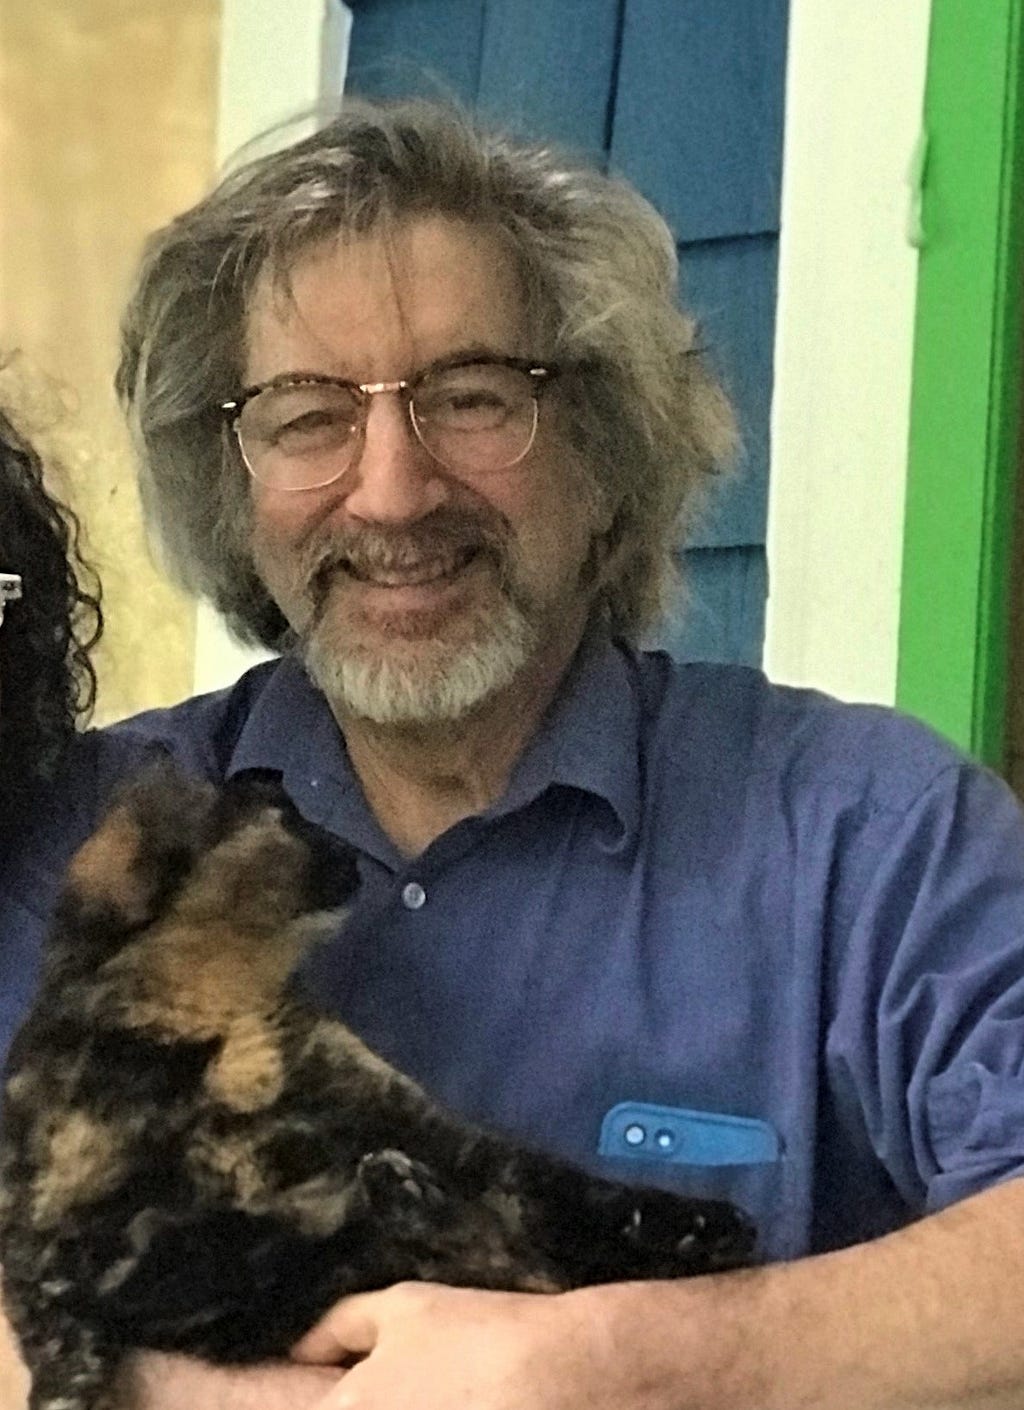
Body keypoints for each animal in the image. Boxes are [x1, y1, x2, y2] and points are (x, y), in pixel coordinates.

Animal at [0, 767, 756, 1404]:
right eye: (289, 818)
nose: (348, 850)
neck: (219, 1021)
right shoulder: (37, 1211)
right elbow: (54, 1305)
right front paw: (71, 1381)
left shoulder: (407, 1116)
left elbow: (559, 1185)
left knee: (529, 1241)